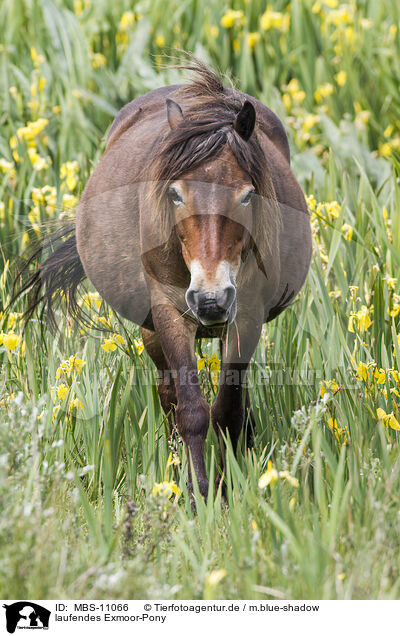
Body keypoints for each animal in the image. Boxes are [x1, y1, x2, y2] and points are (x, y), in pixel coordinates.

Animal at [16, 58, 312, 496]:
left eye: (247, 195)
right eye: (175, 194)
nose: (210, 299)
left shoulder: (246, 316)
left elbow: (227, 408)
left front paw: (228, 486)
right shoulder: (170, 313)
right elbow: (190, 408)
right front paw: (197, 492)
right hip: (152, 328)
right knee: (169, 393)